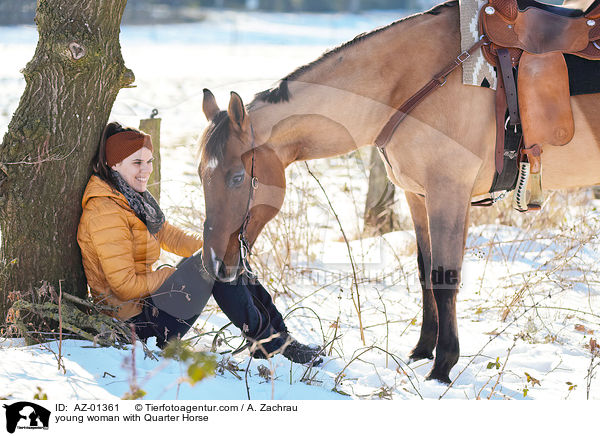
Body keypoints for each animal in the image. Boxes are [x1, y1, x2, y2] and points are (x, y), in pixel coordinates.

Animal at [197, 0, 600, 384]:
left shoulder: (448, 193)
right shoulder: (417, 196)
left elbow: (444, 277)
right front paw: (422, 351)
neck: (412, 81)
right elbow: (424, 273)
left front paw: (442, 366)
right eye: (201, 174)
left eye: (237, 178)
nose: (214, 265)